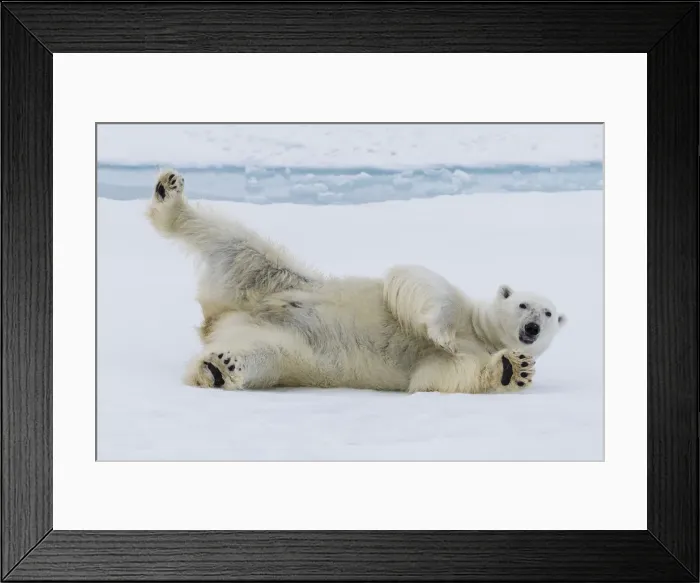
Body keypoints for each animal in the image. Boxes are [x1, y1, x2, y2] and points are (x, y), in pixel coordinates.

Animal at [147, 169, 567, 394]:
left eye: (548, 313)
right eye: (523, 304)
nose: (531, 327)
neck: (481, 334)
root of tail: (219, 322)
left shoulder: (463, 358)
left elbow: (439, 376)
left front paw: (513, 368)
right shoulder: (458, 305)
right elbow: (420, 280)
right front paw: (438, 328)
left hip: (285, 346)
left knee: (260, 354)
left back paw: (218, 368)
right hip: (274, 279)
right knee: (236, 243)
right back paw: (170, 196)